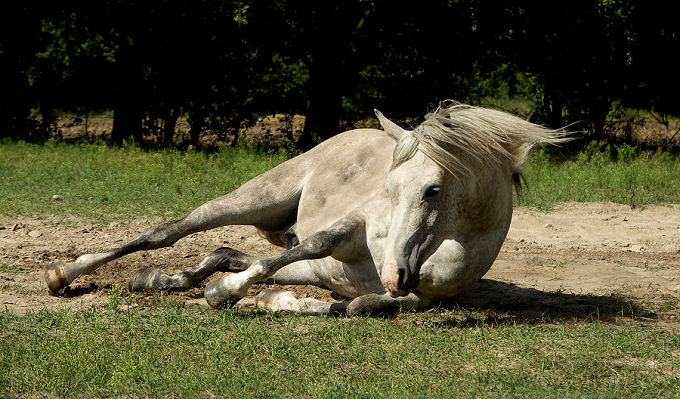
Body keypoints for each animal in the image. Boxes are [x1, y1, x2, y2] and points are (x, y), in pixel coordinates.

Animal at [43, 102, 568, 316]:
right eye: (390, 187)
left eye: (433, 190)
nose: (397, 272)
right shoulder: (353, 226)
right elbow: (317, 241)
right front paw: (225, 294)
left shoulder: (417, 299)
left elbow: (356, 307)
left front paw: (272, 301)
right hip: (257, 197)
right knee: (169, 231)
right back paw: (66, 273)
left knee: (227, 251)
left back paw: (158, 279)